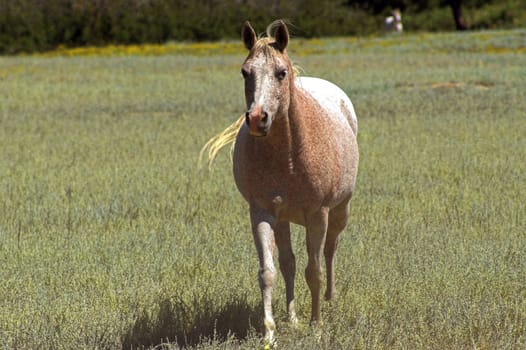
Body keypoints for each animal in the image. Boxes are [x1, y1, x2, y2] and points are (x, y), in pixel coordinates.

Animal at [200, 20, 360, 344]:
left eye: (281, 73)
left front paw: (317, 327)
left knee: (330, 250)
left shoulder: (318, 214)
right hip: (284, 218)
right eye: (245, 72)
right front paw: (270, 333)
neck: (288, 154)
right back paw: (293, 317)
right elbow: (269, 271)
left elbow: (315, 271)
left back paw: (330, 299)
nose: (257, 118)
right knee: (289, 263)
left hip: (340, 211)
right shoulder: (262, 212)